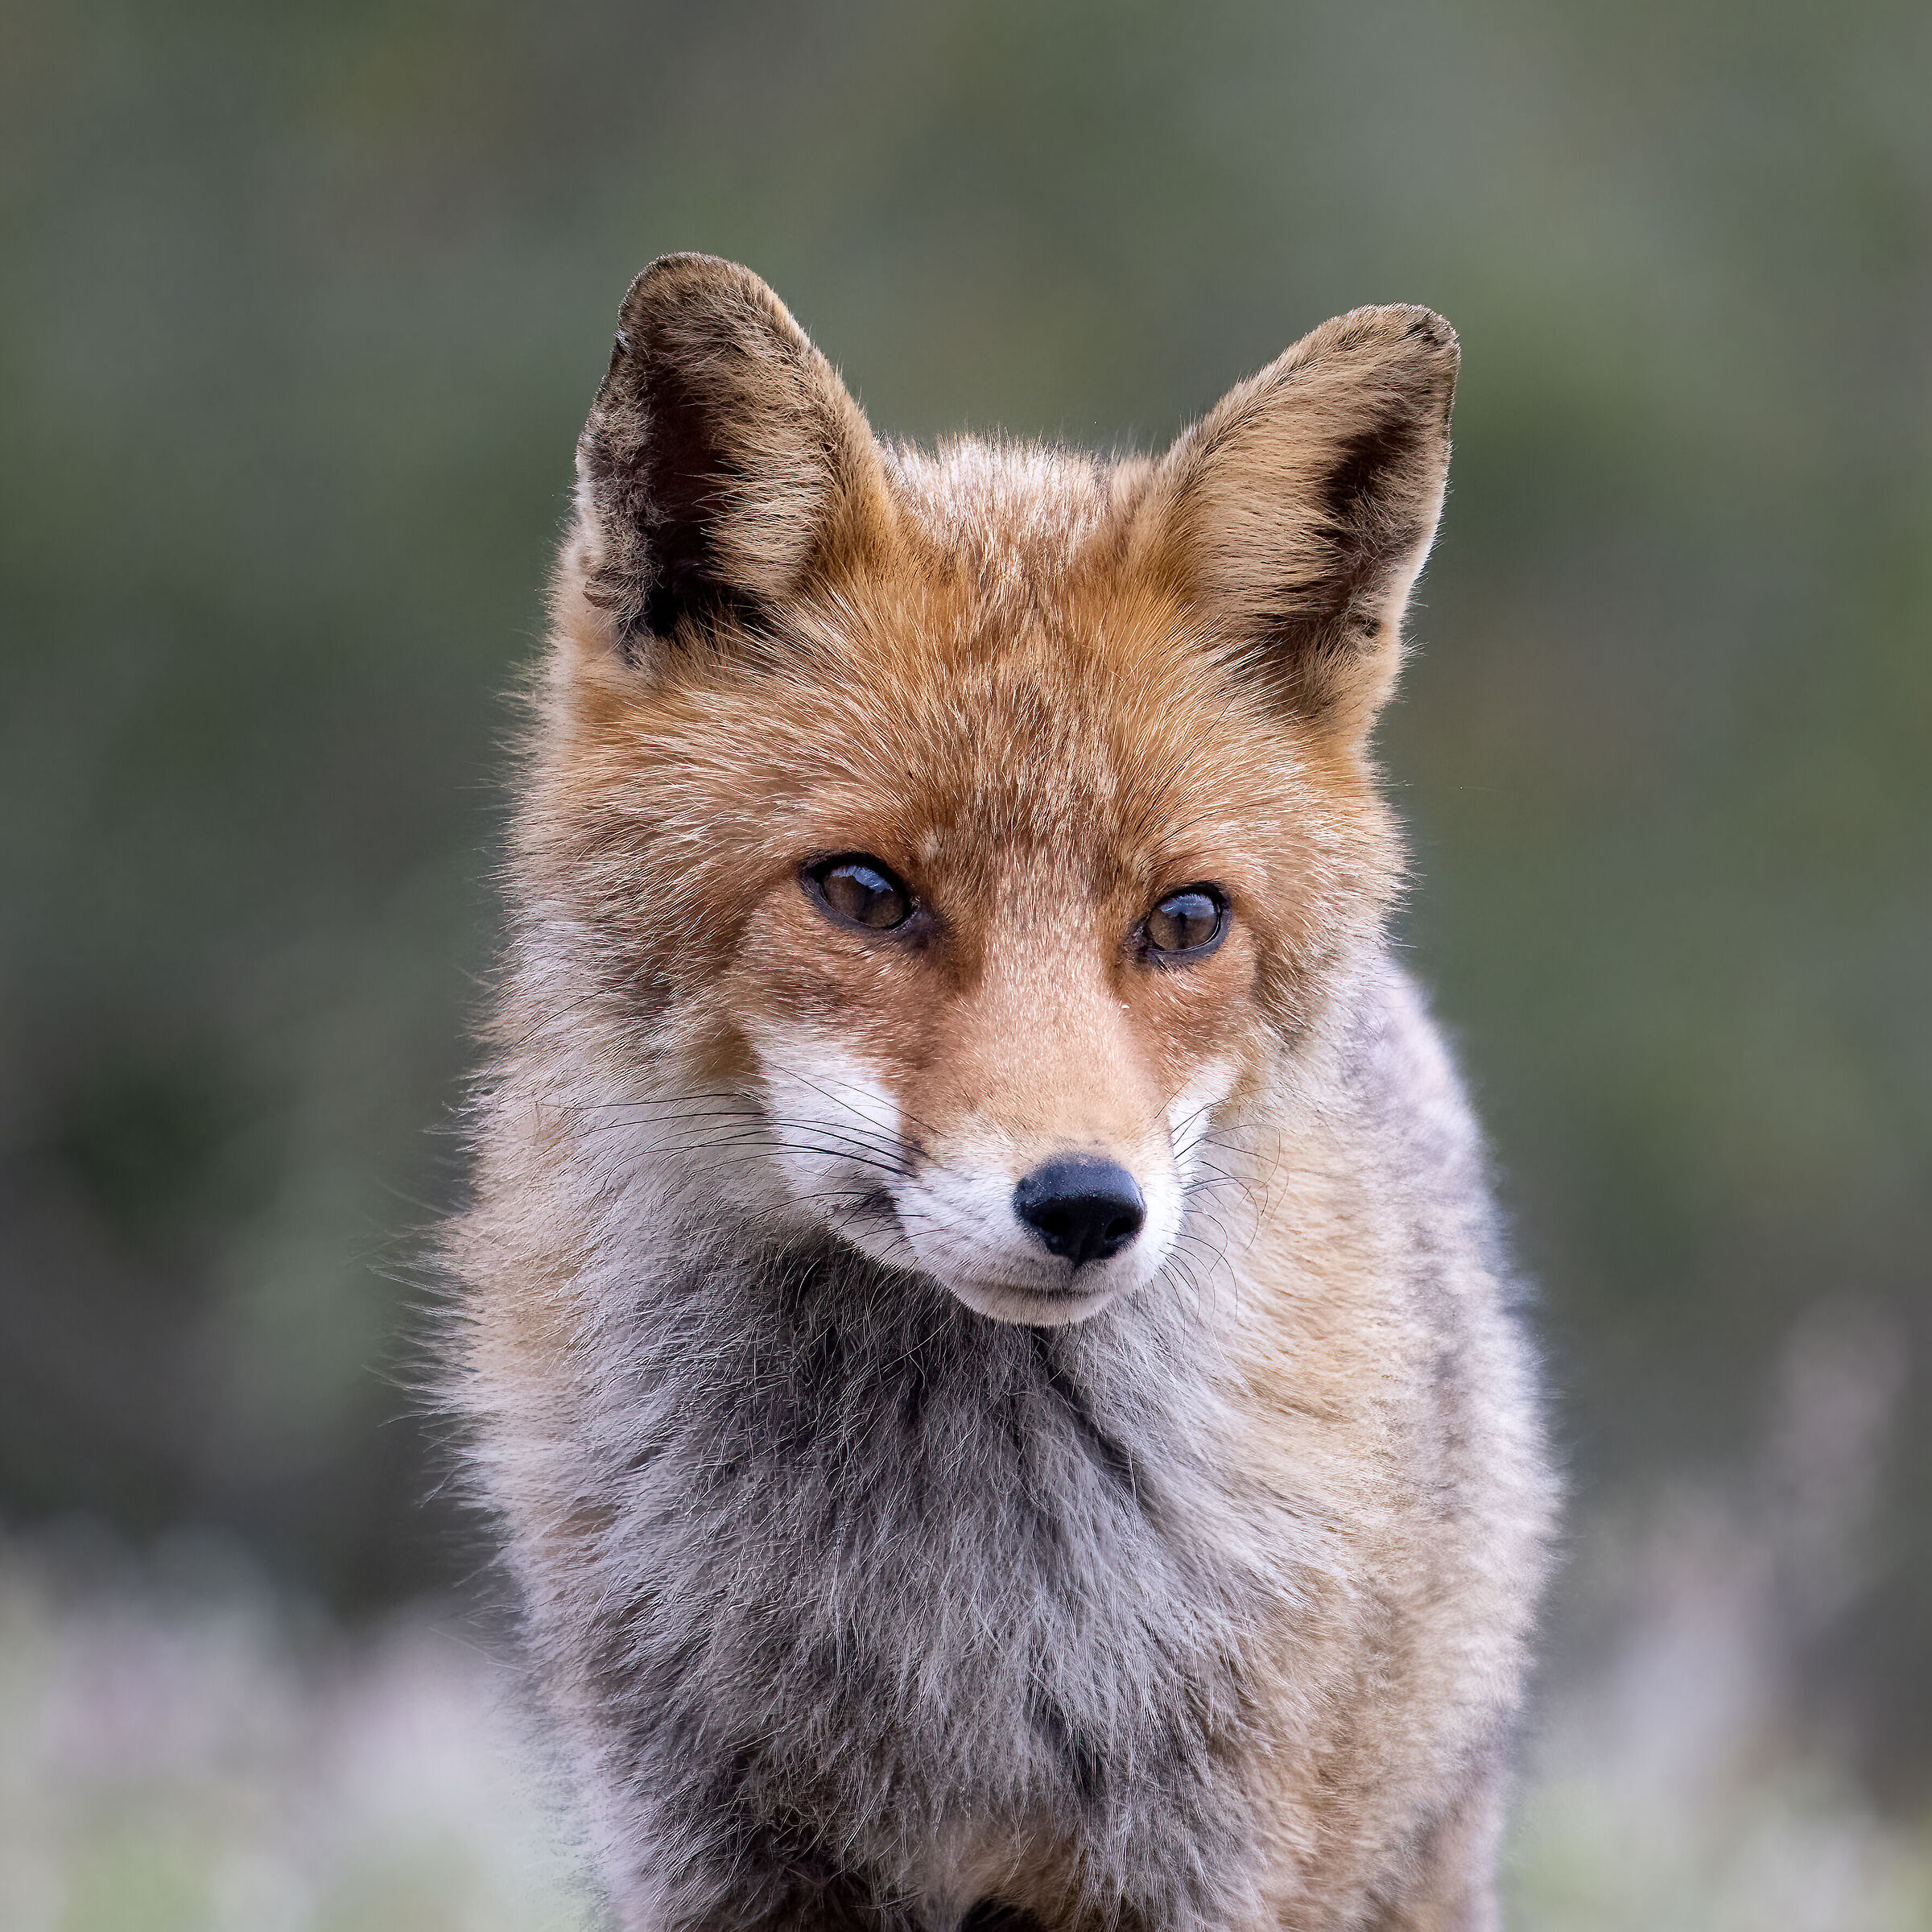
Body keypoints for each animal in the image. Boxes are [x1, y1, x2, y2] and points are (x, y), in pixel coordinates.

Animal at [443, 254, 1556, 1932]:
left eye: (1185, 920)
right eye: (863, 892)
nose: (1087, 1207)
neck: (944, 1605)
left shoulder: (1205, 1857)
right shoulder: (709, 1852)